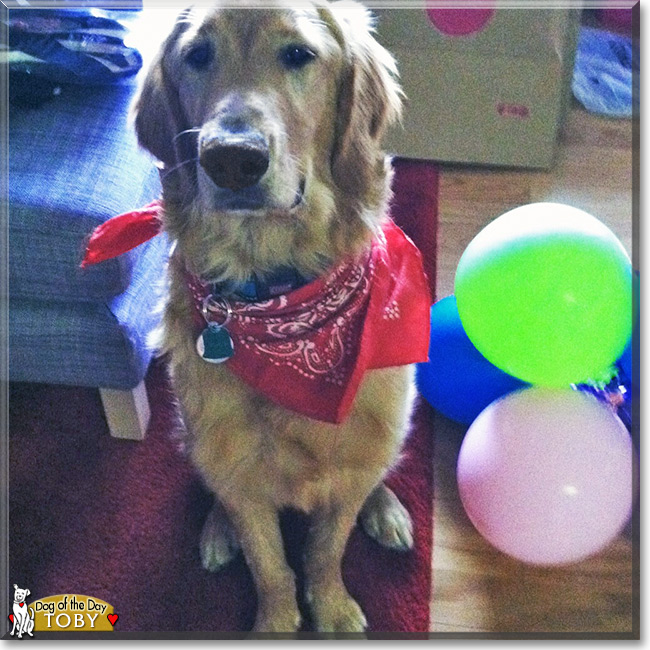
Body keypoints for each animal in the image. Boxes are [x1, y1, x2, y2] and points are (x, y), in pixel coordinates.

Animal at [134, 0, 420, 632]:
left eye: (298, 55)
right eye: (197, 55)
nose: (230, 159)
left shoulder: (349, 463)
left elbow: (326, 549)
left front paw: (331, 608)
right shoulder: (238, 469)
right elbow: (269, 565)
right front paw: (277, 620)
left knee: (381, 466)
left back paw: (386, 509)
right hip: (198, 435)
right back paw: (217, 531)